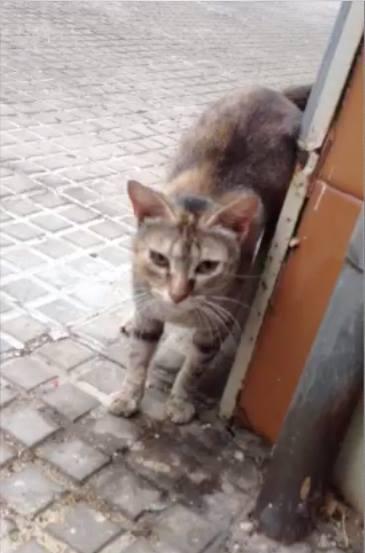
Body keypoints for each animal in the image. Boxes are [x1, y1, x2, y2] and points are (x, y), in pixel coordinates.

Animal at [109, 85, 310, 422]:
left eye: (207, 266)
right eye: (159, 259)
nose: (177, 294)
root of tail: (271, 91)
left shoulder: (213, 329)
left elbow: (193, 369)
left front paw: (179, 401)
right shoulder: (148, 310)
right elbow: (138, 358)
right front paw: (128, 396)